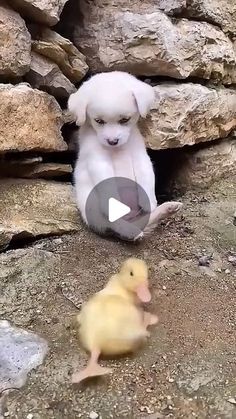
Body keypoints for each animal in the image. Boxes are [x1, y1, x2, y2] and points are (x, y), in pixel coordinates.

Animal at [68, 71, 183, 240]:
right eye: (99, 121)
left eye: (124, 120)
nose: (112, 141)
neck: (118, 149)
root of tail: (131, 219)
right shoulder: (98, 161)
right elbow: (107, 182)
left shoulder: (141, 156)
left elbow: (147, 177)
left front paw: (149, 199)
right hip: (94, 206)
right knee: (115, 224)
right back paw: (131, 233)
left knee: (146, 219)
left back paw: (167, 209)